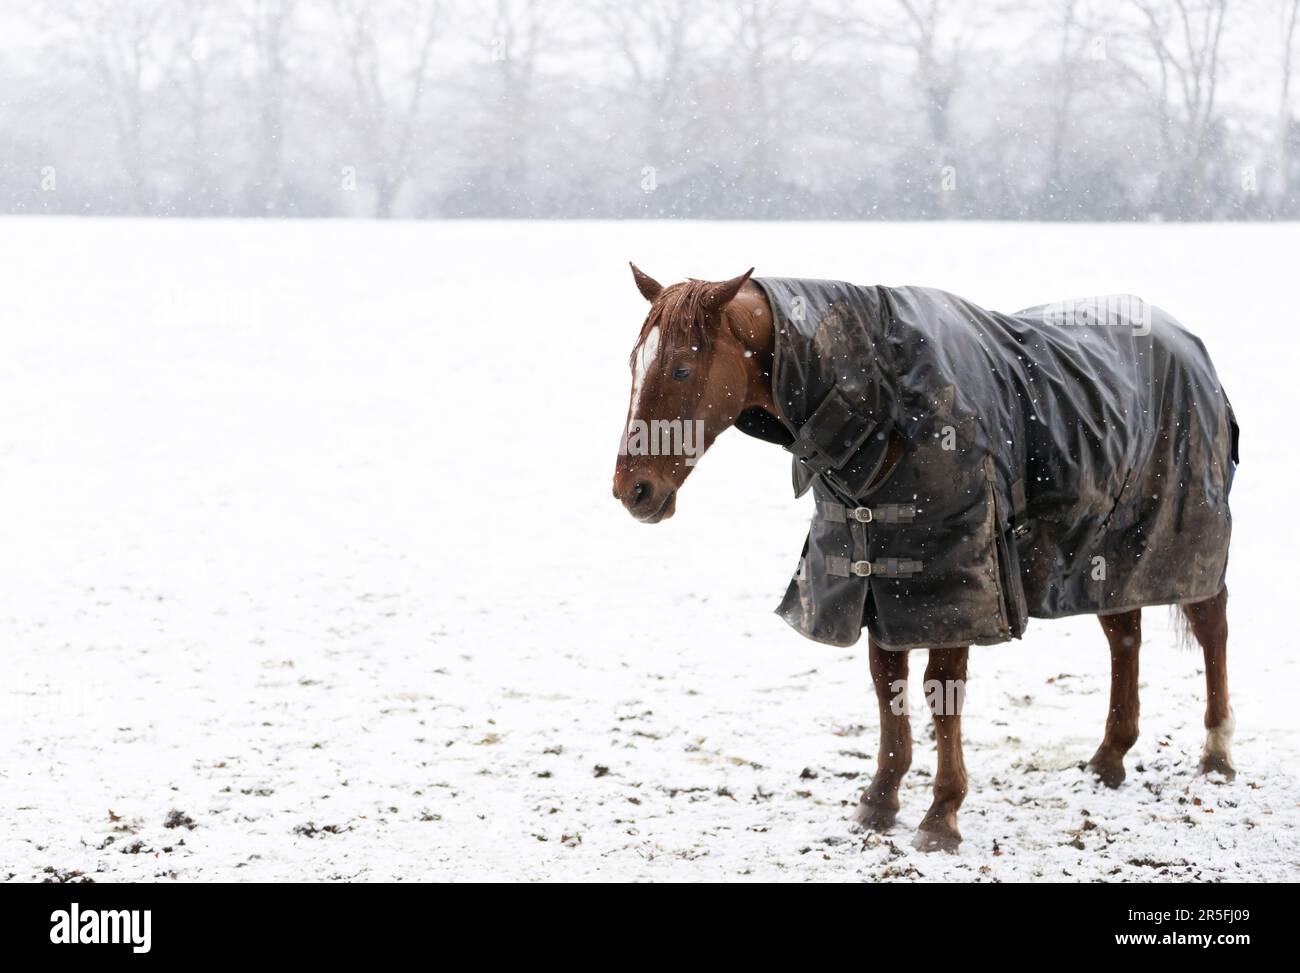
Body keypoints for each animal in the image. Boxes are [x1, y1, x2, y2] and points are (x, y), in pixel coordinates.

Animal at [608, 264, 1237, 853]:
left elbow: (941, 693)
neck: (886, 408)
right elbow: (887, 684)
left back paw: (1217, 753)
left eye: (681, 369)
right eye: (635, 364)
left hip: (1181, 538)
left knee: (1210, 626)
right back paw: (1109, 758)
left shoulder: (955, 585)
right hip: (1105, 553)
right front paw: (880, 801)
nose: (631, 490)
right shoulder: (875, 582)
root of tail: (1191, 346)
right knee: (1123, 635)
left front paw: (942, 816)